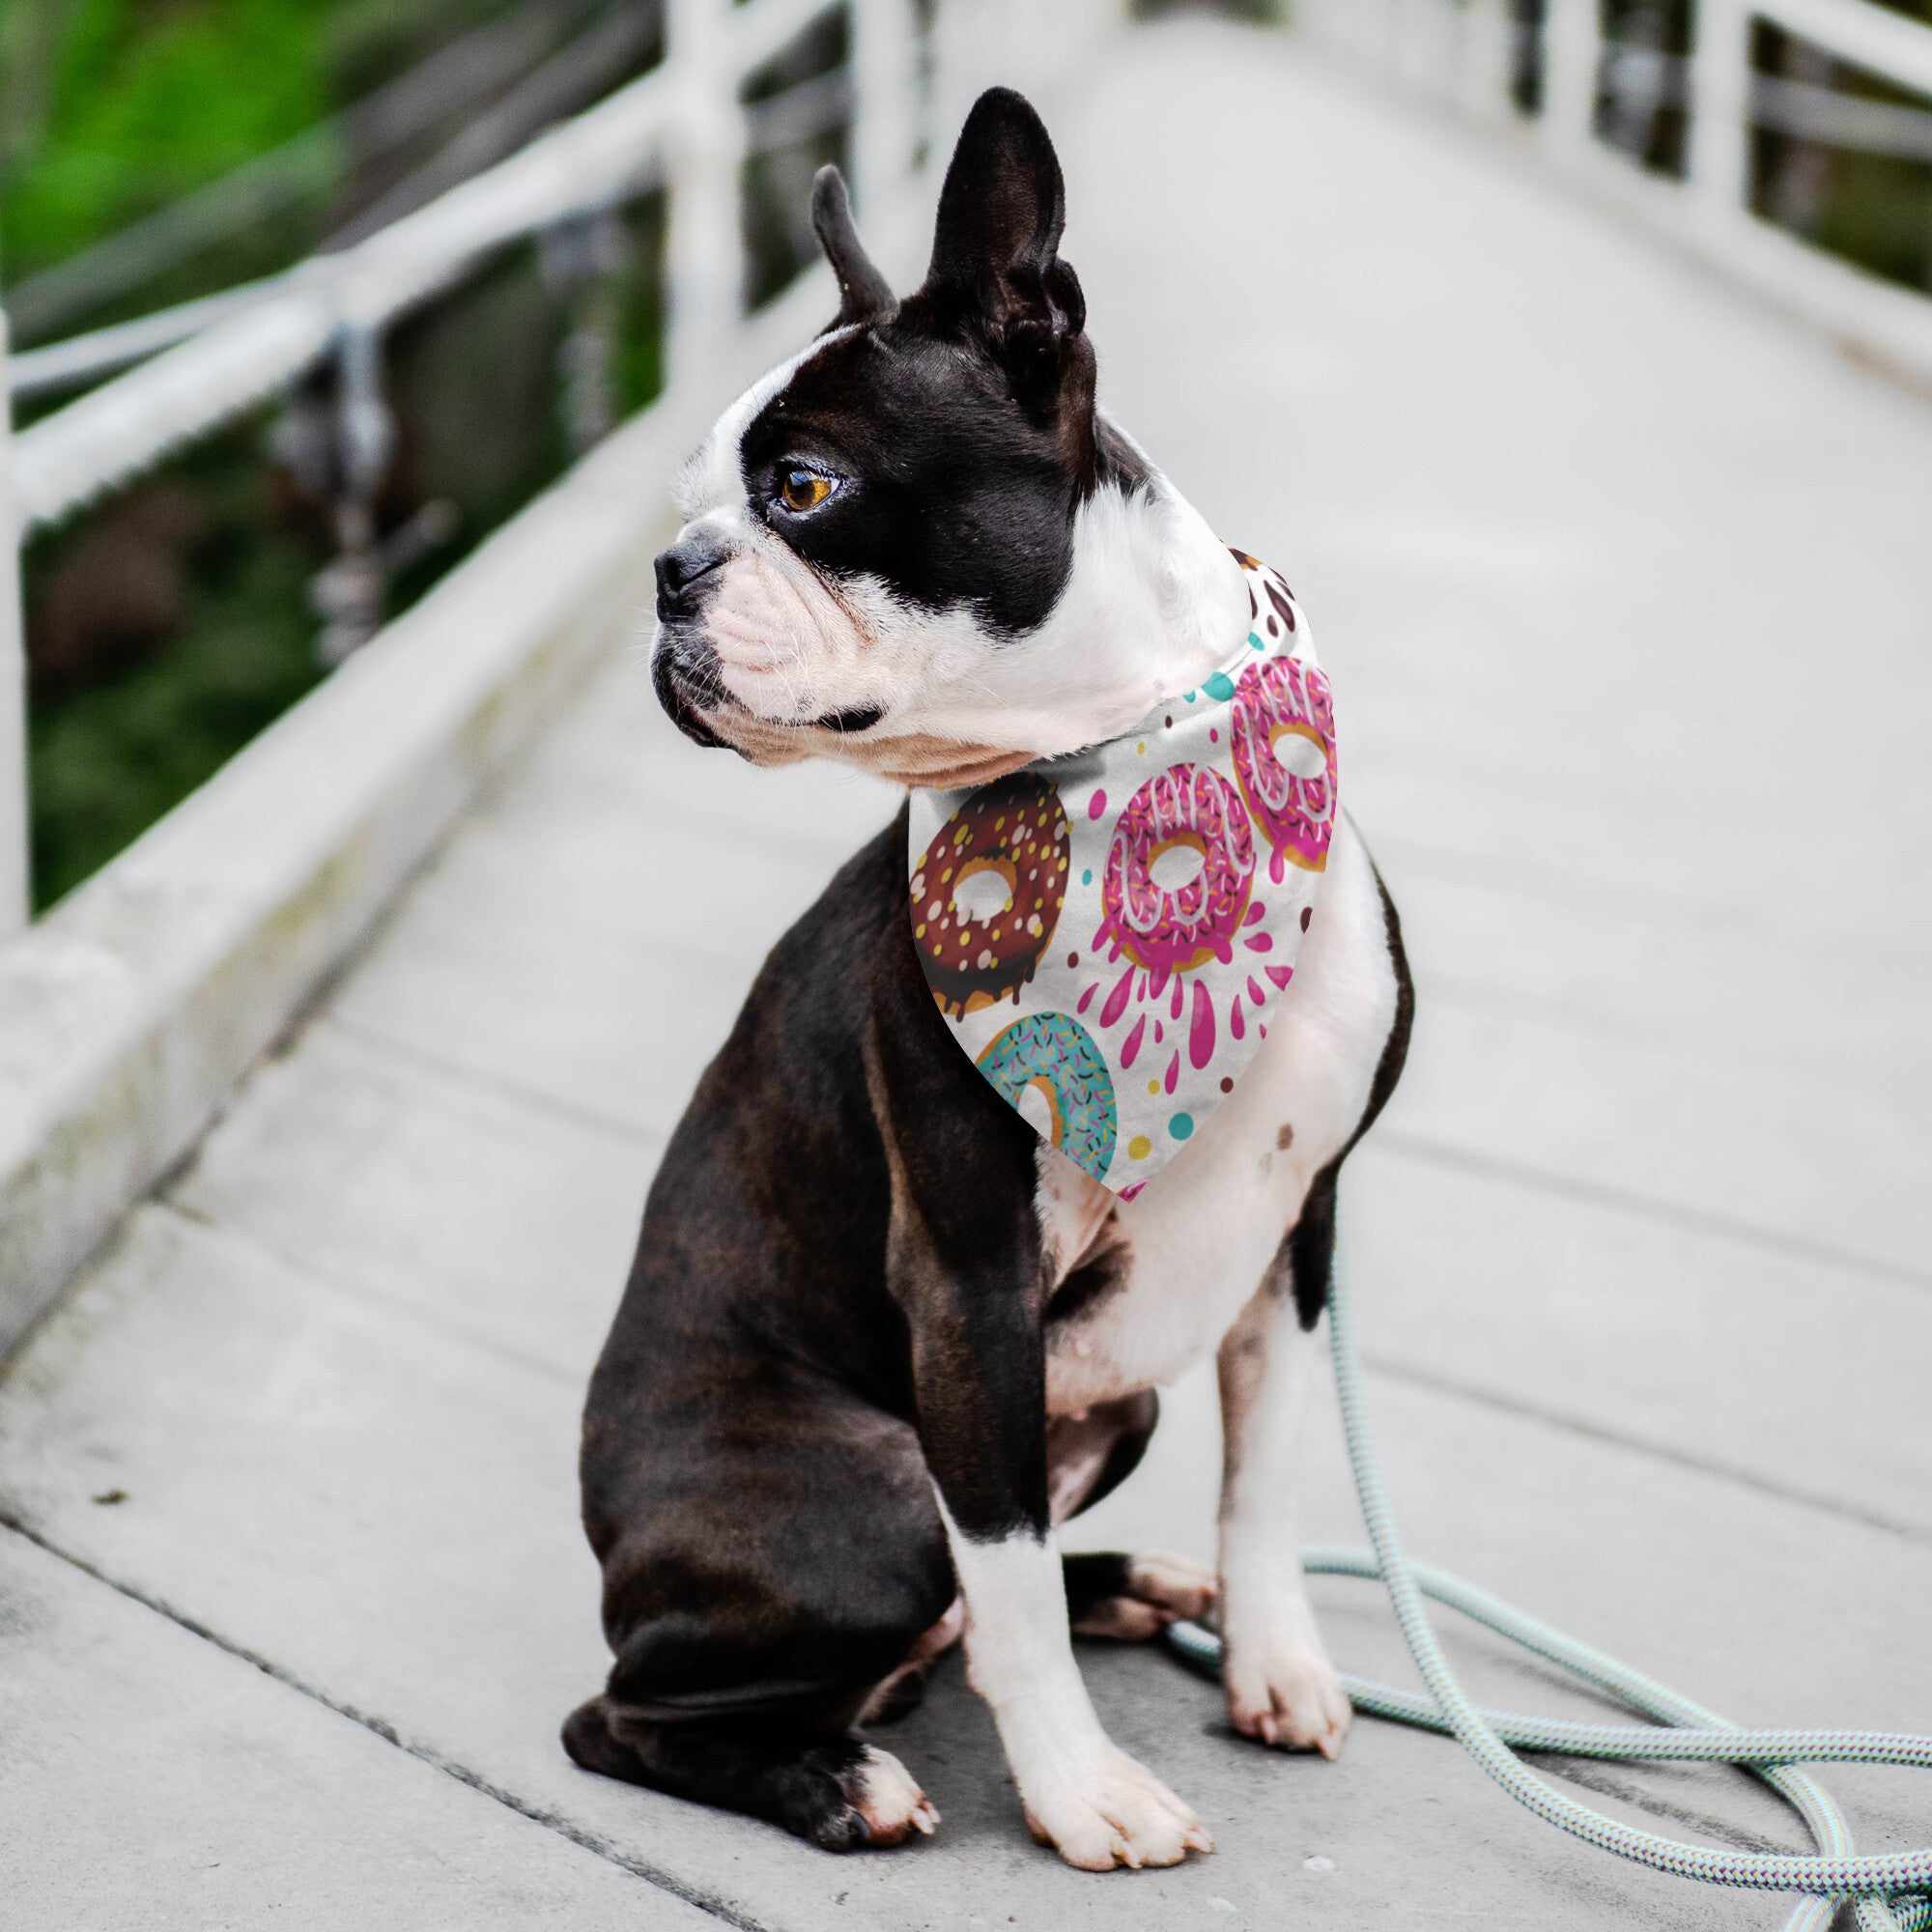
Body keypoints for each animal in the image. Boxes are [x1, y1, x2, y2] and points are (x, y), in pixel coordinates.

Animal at [564, 87, 1414, 1870]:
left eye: (802, 486)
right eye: (698, 499)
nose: (670, 570)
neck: (1129, 767)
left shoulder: (1297, 1241)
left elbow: (1267, 1479)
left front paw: (1274, 1658)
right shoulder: (968, 1283)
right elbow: (1005, 1573)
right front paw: (1083, 1792)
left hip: (1113, 1408)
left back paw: (1135, 1587)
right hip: (875, 1496)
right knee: (641, 1709)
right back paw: (837, 1777)